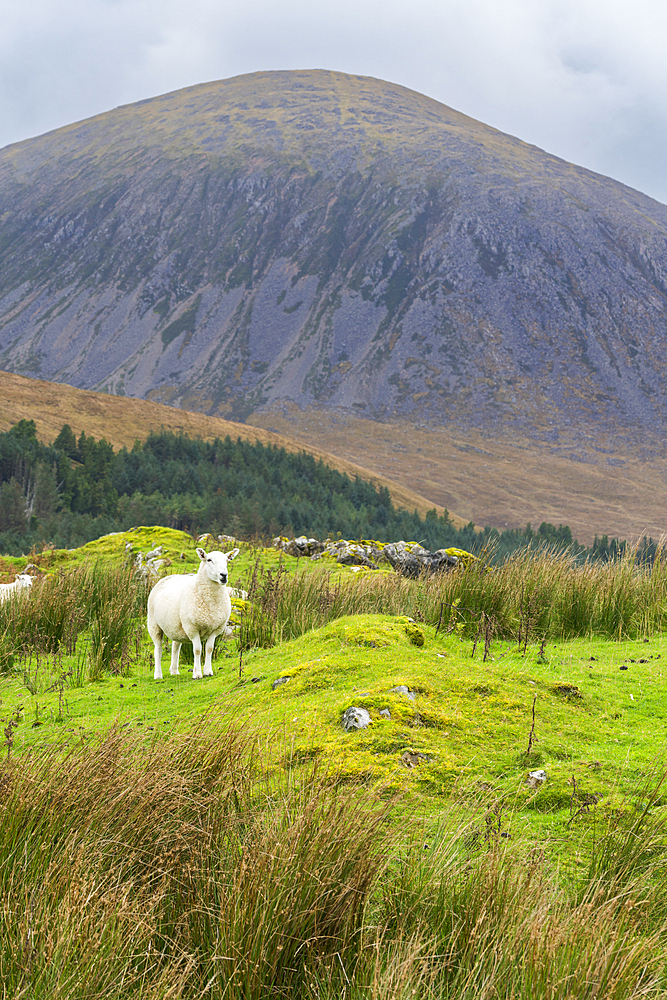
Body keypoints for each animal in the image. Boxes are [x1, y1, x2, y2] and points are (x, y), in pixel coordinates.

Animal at [147, 548, 241, 680]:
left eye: (226, 560)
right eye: (209, 560)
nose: (224, 575)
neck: (211, 603)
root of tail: (169, 577)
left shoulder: (216, 629)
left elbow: (209, 649)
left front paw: (208, 671)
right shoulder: (192, 628)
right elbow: (197, 650)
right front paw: (197, 674)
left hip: (177, 626)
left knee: (176, 646)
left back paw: (174, 671)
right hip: (154, 625)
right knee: (158, 649)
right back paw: (158, 675)